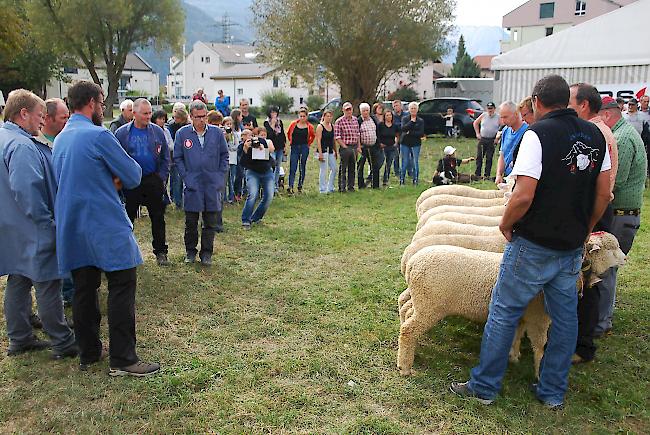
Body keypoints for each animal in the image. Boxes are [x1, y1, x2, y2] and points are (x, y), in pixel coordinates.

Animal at [398, 232, 624, 378]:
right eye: (611, 248)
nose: (625, 258)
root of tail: (413, 263)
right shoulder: (539, 317)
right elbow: (539, 346)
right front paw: (538, 374)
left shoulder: (523, 315)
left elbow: (517, 335)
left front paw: (513, 356)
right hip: (431, 305)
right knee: (408, 330)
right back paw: (405, 367)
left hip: (422, 300)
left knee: (406, 312)